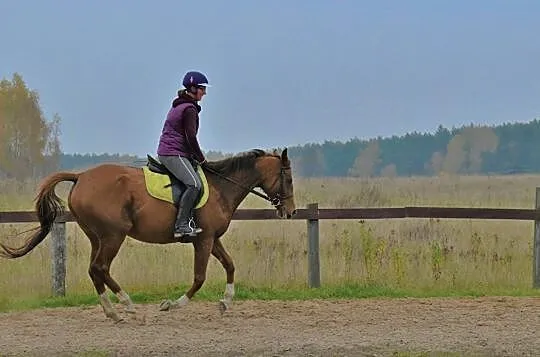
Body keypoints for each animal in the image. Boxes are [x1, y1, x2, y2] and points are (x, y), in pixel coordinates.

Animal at [0, 147, 298, 320]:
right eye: (289, 178)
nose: (292, 211)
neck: (220, 187)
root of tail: (81, 176)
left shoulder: (211, 238)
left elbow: (230, 265)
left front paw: (225, 302)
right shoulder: (203, 240)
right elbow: (199, 278)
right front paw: (172, 304)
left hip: (97, 237)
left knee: (94, 270)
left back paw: (112, 311)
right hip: (113, 235)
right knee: (100, 267)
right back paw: (126, 303)